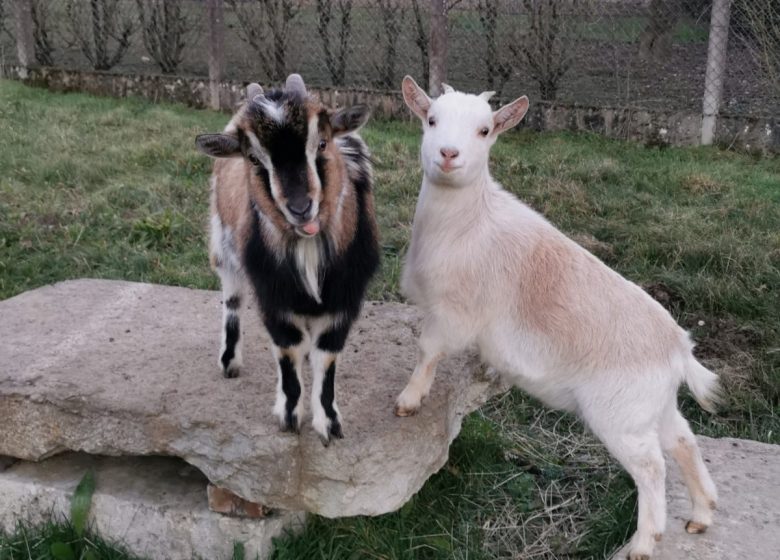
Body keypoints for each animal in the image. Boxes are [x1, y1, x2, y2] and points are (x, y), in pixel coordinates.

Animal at [193, 74, 380, 444]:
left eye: (322, 143)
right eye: (254, 159)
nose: (300, 207)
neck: (307, 245)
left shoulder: (345, 297)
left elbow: (327, 355)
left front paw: (329, 424)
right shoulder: (272, 293)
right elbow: (287, 349)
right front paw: (291, 416)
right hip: (224, 242)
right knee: (232, 298)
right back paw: (229, 361)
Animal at [396, 75, 720, 560]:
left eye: (485, 131)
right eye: (431, 119)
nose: (448, 154)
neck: (467, 222)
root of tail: (677, 348)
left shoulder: (454, 311)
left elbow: (427, 350)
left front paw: (409, 399)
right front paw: (484, 370)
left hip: (620, 414)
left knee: (652, 468)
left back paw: (644, 542)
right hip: (651, 406)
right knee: (682, 440)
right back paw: (701, 514)